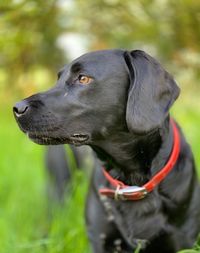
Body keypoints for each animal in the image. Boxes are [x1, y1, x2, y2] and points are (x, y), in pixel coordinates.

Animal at [13, 50, 200, 253]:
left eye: (83, 78)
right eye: (58, 79)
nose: (17, 108)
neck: (133, 182)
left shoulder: (183, 242)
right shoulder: (100, 240)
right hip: (59, 188)